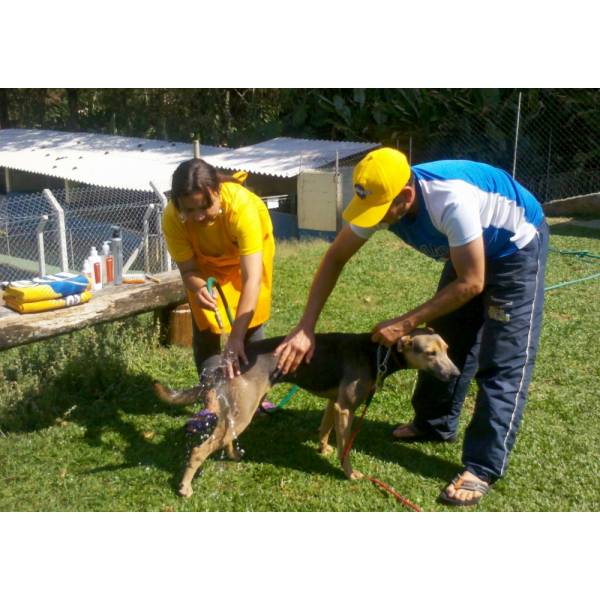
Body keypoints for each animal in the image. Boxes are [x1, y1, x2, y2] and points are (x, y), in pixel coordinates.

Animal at [156, 328, 460, 496]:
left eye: (447, 349)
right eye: (430, 353)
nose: (457, 374)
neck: (377, 352)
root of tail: (226, 362)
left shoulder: (334, 403)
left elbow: (325, 430)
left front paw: (323, 449)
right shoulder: (346, 408)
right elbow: (345, 449)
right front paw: (350, 474)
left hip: (239, 410)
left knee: (225, 437)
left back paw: (232, 456)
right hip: (244, 411)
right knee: (199, 449)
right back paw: (185, 487)